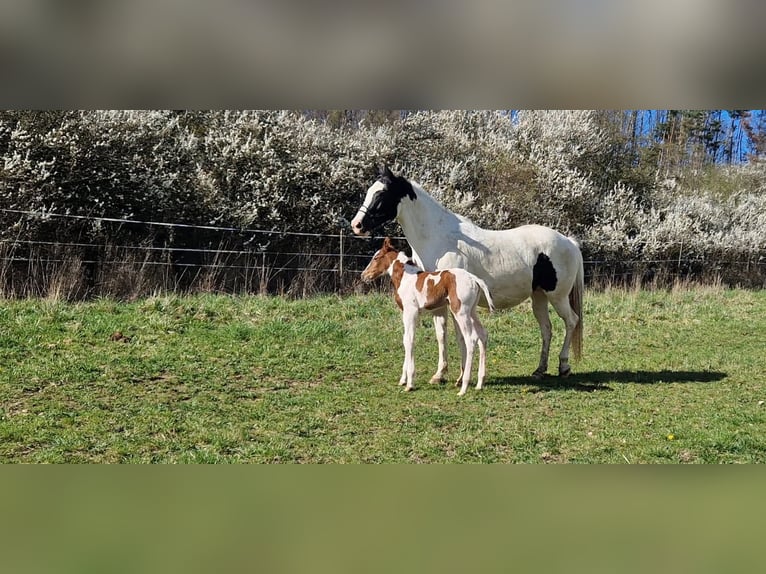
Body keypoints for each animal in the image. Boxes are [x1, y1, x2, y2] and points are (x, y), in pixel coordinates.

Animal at [361, 237, 495, 396]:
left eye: (376, 257)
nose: (364, 275)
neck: (406, 278)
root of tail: (474, 278)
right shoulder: (406, 313)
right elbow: (406, 339)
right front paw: (403, 379)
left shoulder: (411, 312)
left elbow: (409, 340)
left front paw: (410, 383)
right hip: (472, 312)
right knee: (483, 335)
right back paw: (480, 383)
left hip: (460, 312)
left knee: (471, 339)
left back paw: (464, 387)